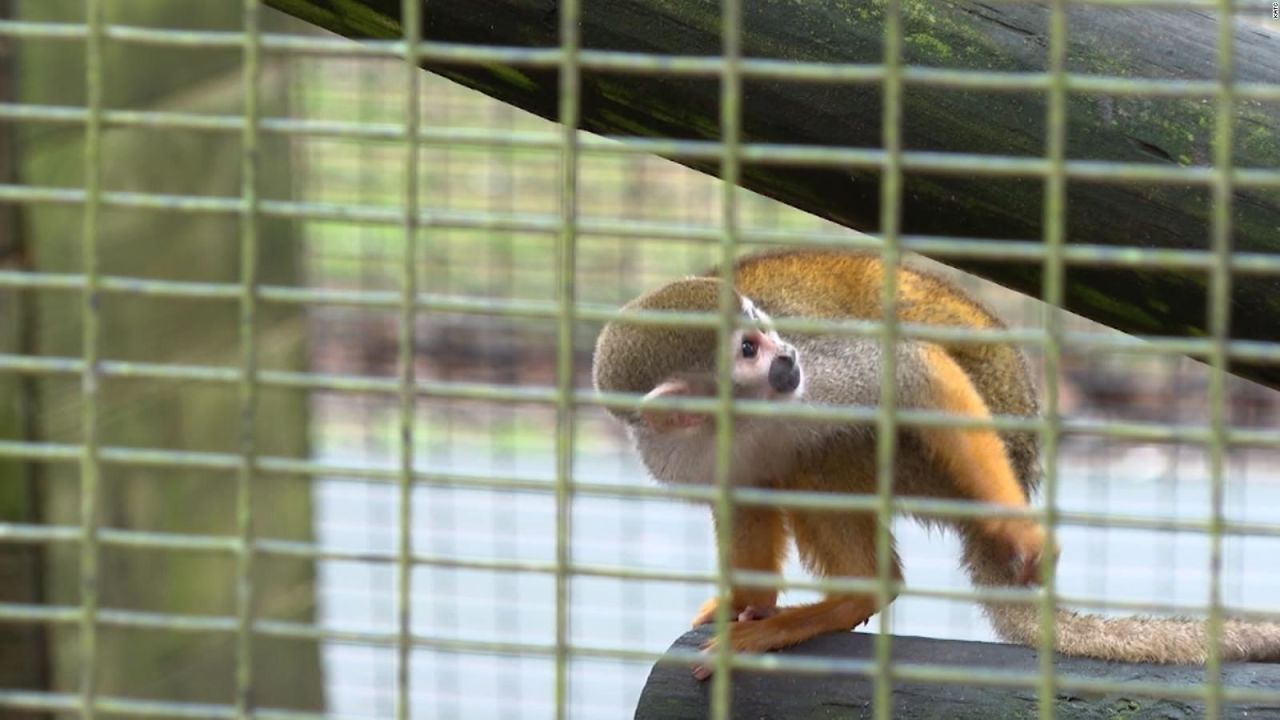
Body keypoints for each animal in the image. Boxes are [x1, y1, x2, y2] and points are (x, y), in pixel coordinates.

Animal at [588, 245, 1280, 671]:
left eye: (763, 331)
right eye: (747, 351)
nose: (786, 359)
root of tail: (1023, 460)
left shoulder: (820, 379)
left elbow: (910, 370)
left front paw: (1018, 530)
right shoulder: (670, 451)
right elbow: (741, 492)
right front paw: (743, 600)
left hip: (930, 465)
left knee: (826, 447)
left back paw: (860, 593)